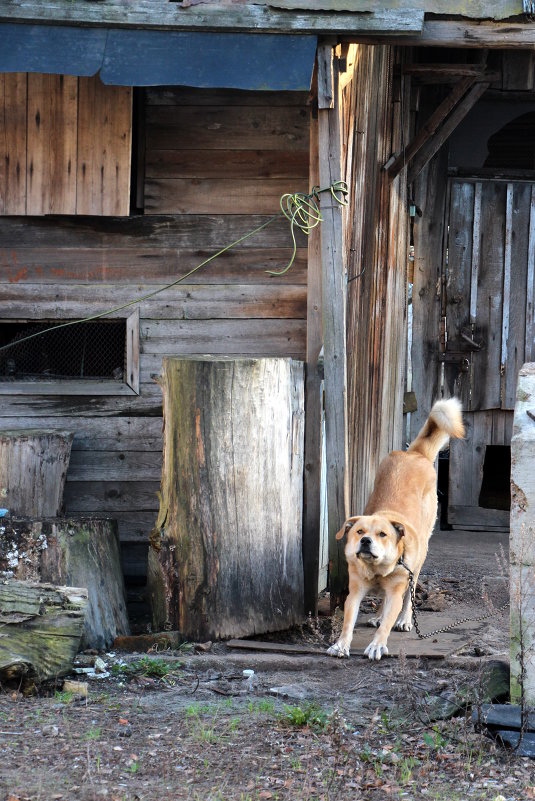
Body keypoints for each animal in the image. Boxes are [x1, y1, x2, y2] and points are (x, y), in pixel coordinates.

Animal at [326, 396, 464, 660]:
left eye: (383, 534)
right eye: (359, 532)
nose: (366, 541)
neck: (377, 569)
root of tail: (416, 454)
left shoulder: (398, 585)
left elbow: (390, 617)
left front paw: (377, 644)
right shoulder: (355, 591)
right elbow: (348, 621)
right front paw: (341, 644)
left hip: (418, 564)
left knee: (407, 598)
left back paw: (404, 620)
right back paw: (379, 615)